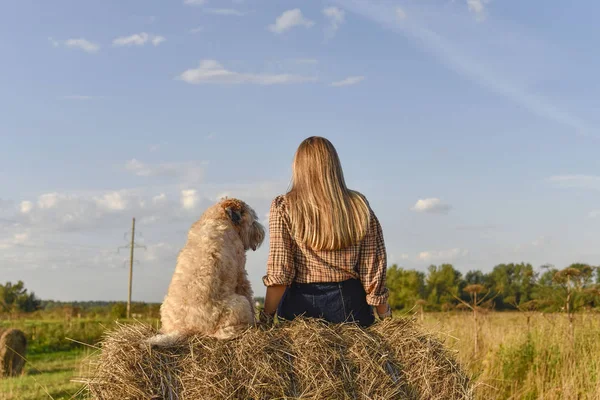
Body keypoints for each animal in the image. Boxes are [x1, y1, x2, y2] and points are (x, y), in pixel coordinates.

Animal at [146, 198, 264, 346]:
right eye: (253, 218)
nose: (262, 232)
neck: (219, 218)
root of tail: (185, 328)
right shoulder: (241, 273)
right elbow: (249, 294)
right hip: (239, 304)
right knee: (224, 332)